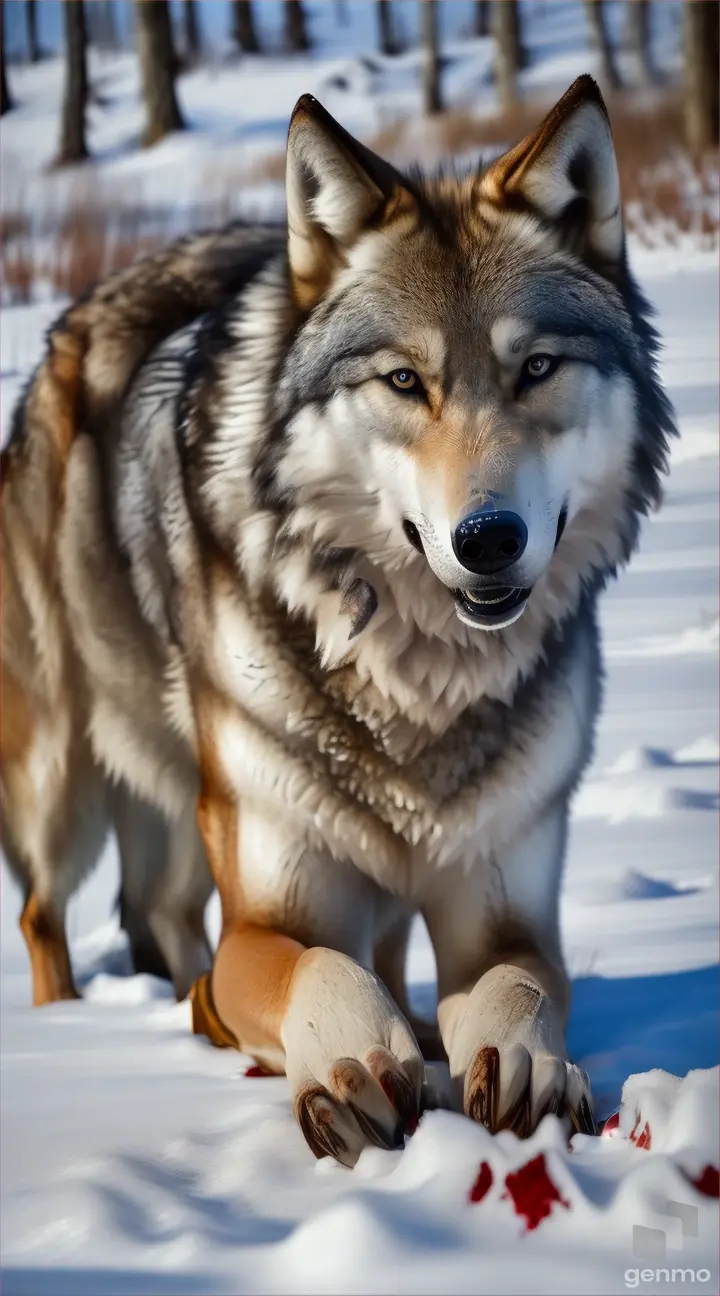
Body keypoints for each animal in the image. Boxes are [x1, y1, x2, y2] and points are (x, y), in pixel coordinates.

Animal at [0, 81, 673, 1166]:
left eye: (535, 369)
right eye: (404, 382)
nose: (488, 539)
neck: (419, 684)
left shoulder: (508, 917)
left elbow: (516, 988)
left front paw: (523, 1065)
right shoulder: (257, 927)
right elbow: (323, 970)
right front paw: (357, 1060)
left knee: (166, 912)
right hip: (62, 780)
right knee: (43, 915)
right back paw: (68, 1029)